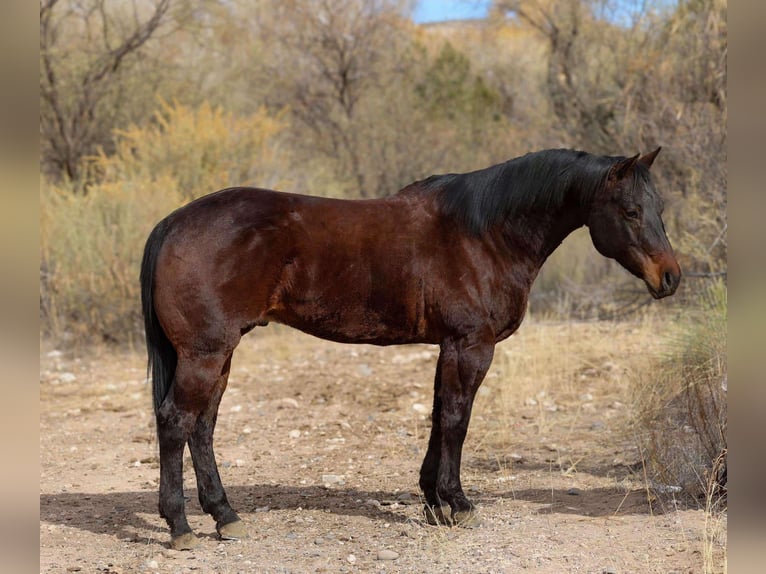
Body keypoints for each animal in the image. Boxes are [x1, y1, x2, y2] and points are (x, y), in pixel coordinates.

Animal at [140, 147, 680, 549]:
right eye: (630, 211)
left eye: (659, 210)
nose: (670, 278)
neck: (483, 233)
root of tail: (173, 222)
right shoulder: (470, 347)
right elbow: (457, 421)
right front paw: (458, 504)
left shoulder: (449, 347)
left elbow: (440, 418)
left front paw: (433, 503)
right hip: (205, 354)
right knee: (175, 422)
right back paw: (181, 526)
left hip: (219, 355)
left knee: (202, 427)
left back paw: (225, 516)